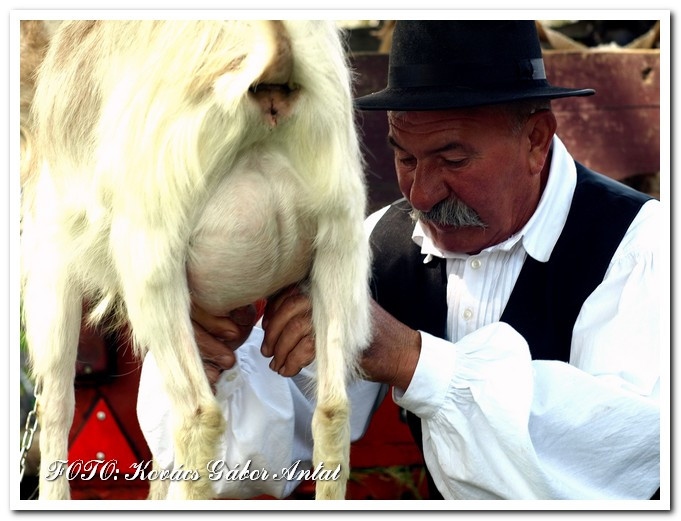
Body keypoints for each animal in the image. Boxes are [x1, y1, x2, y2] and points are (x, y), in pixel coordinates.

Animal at [21, 20, 370, 500]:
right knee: (333, 411)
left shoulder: (51, 252)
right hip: (340, 245)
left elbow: (55, 400)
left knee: (197, 416)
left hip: (151, 260)